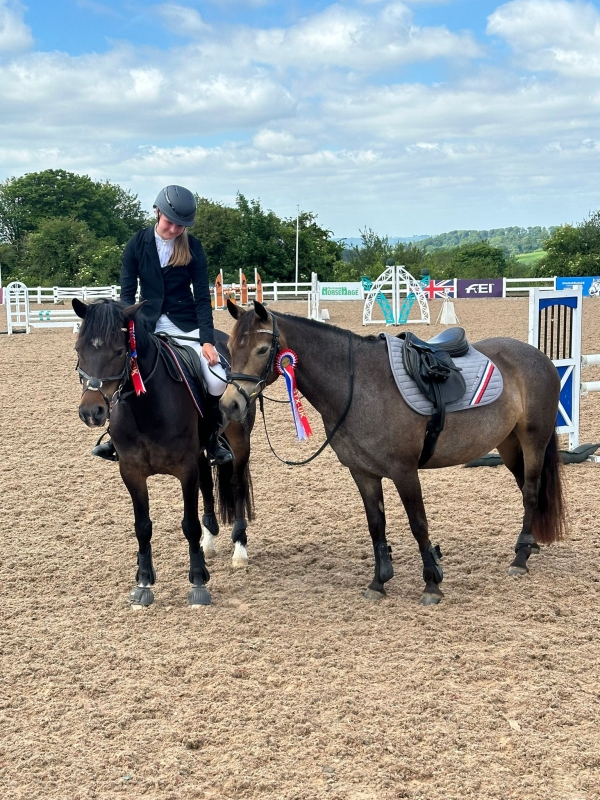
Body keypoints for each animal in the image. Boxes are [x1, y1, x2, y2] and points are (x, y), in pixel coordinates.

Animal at [73, 298, 255, 608]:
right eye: (78, 349)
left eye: (119, 351)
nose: (91, 412)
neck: (145, 409)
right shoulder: (131, 472)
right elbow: (142, 526)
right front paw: (144, 583)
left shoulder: (185, 470)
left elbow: (189, 524)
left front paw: (198, 582)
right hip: (202, 452)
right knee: (208, 485)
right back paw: (209, 542)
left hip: (240, 443)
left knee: (237, 486)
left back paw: (239, 549)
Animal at [221, 300, 568, 608]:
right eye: (230, 349)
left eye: (261, 350)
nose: (229, 405)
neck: (360, 385)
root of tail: (539, 357)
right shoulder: (363, 473)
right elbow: (376, 524)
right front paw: (379, 581)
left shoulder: (405, 472)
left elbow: (418, 524)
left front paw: (432, 583)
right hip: (509, 445)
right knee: (526, 490)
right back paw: (530, 545)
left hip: (533, 441)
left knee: (531, 492)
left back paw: (520, 558)